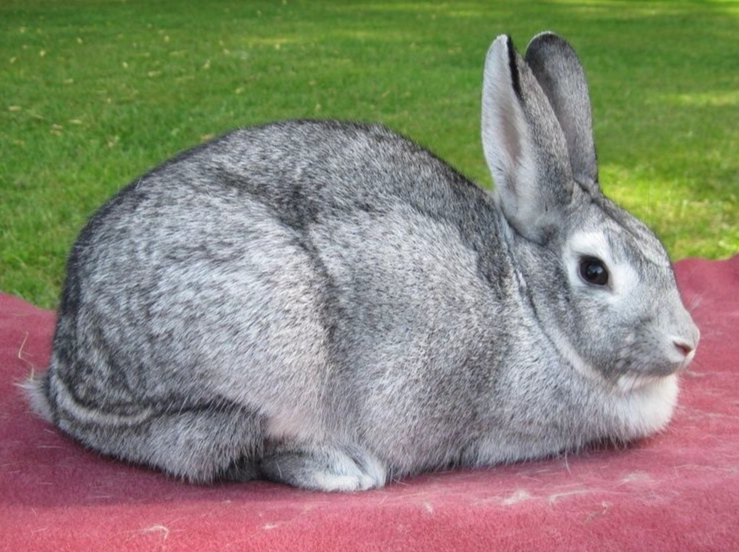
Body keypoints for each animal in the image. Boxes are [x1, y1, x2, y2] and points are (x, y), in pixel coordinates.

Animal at [25, 32, 700, 492]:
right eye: (594, 271)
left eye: (660, 250)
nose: (687, 342)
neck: (530, 308)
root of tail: (67, 385)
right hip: (265, 347)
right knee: (219, 449)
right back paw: (341, 469)